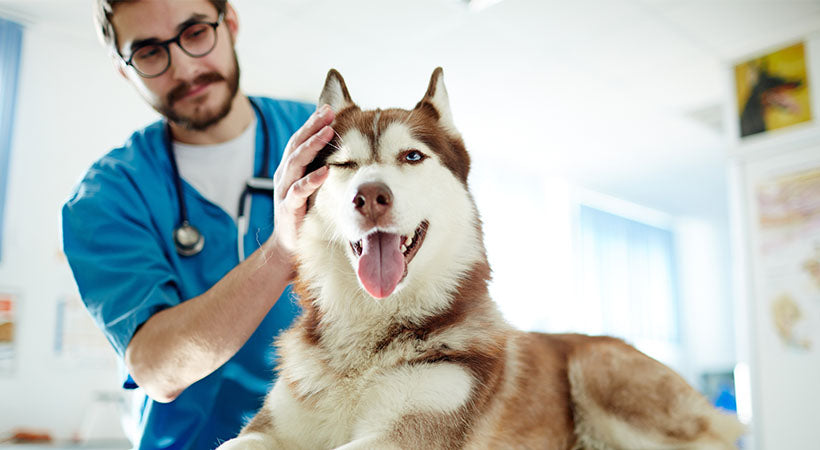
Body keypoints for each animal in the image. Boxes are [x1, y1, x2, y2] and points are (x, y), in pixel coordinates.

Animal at [221, 68, 748, 448]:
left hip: (598, 367)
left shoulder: (411, 431)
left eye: (412, 157)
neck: (368, 342)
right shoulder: (269, 428)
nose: (369, 196)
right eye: (343, 165)